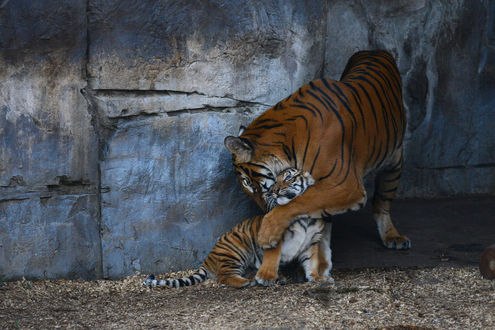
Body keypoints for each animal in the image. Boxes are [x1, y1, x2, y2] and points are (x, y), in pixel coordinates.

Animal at [226, 50, 410, 282]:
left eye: (248, 183)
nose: (262, 209)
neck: (287, 143)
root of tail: (375, 50)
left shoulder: (345, 184)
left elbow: (297, 203)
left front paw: (267, 233)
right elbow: (318, 224)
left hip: (394, 164)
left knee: (382, 203)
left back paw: (393, 236)